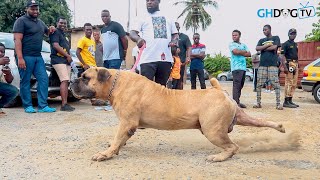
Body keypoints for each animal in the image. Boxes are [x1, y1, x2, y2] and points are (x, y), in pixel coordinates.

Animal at [71, 67, 286, 162]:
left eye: (85, 77)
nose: (73, 80)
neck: (115, 84)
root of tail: (220, 91)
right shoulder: (128, 125)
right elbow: (119, 141)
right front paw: (114, 150)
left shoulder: (126, 123)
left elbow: (117, 139)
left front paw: (106, 154)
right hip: (239, 118)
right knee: (261, 122)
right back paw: (281, 127)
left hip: (212, 131)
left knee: (233, 147)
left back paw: (218, 157)